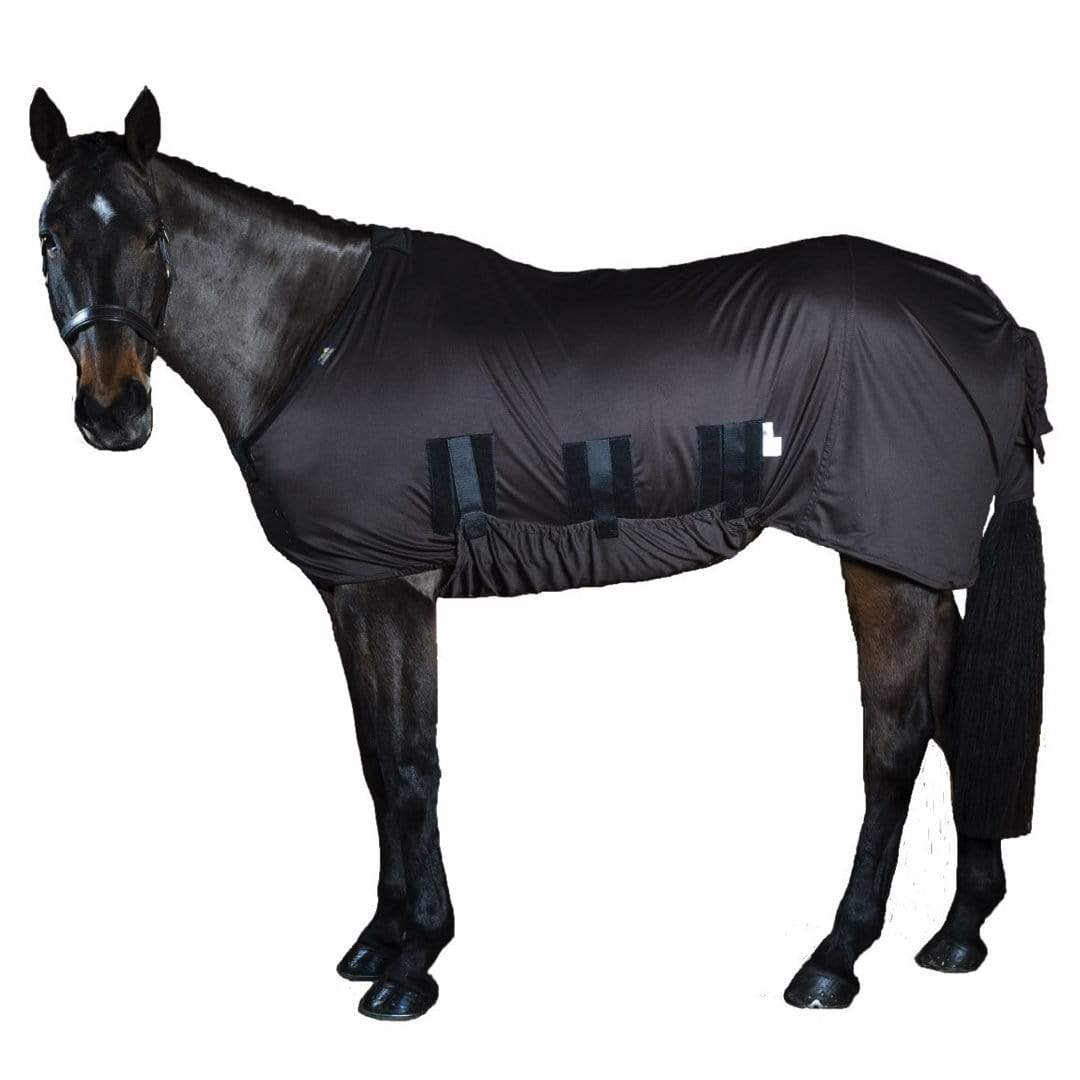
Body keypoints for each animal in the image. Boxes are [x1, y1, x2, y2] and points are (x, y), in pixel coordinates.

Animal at [29, 87, 1049, 1020]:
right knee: (960, 716)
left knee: (895, 740)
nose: (114, 414)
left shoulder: (390, 587)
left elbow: (410, 767)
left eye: (154, 235)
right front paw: (379, 939)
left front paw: (413, 961)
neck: (314, 338)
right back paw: (959, 933)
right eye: (47, 237)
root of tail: (996, 324)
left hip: (885, 565)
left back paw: (836, 959)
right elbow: (375, 760)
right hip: (918, 565)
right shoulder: (350, 589)